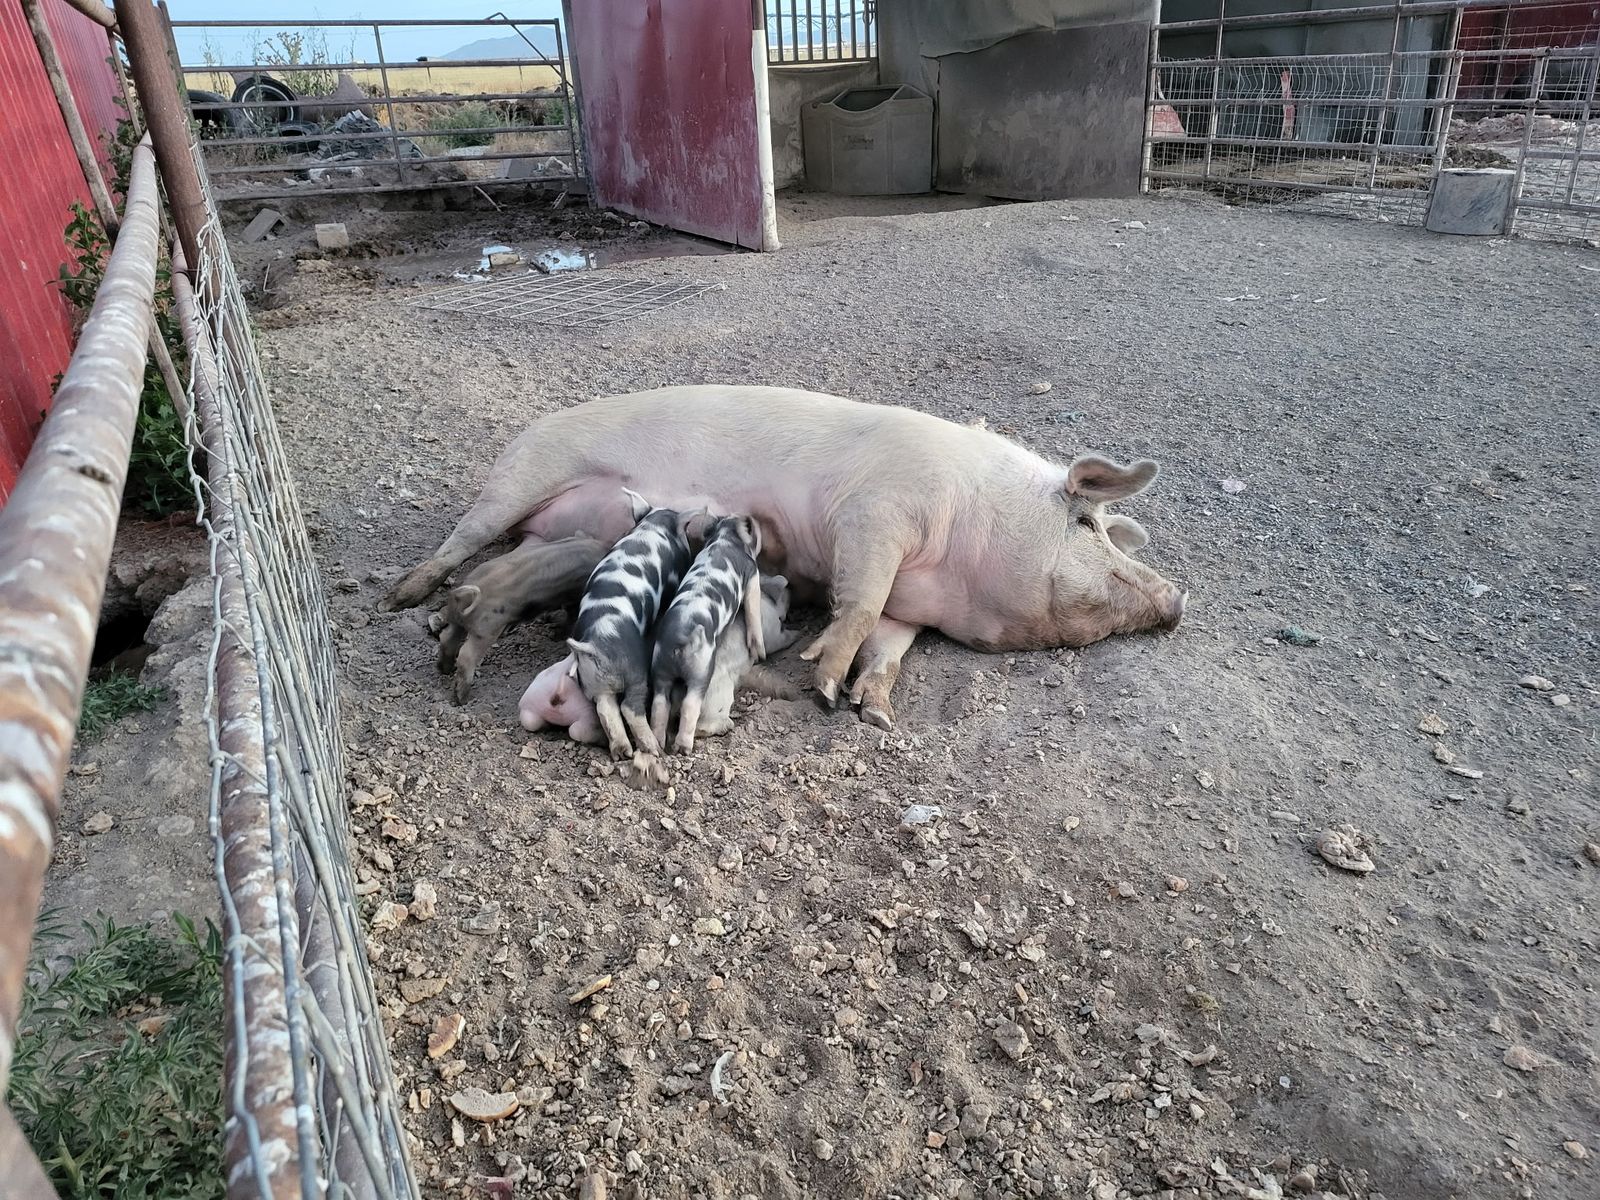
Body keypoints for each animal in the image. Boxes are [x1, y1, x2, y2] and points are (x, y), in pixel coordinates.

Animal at [434, 532, 606, 704]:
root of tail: (463, 596)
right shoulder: (574, 598)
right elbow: (570, 618)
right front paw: (556, 635)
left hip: (458, 622)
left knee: (446, 638)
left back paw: (444, 669)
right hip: (485, 631)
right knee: (466, 656)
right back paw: (462, 698)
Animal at [565, 489, 696, 760]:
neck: (653, 527)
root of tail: (594, 645)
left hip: (594, 684)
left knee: (606, 709)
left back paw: (622, 752)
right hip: (634, 671)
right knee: (629, 706)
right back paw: (653, 749)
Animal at [649, 515, 766, 755]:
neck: (724, 538)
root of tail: (679, 637)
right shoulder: (752, 574)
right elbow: (753, 608)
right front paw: (760, 654)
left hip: (660, 667)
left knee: (660, 704)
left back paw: (659, 743)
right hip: (701, 669)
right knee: (690, 704)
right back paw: (684, 748)